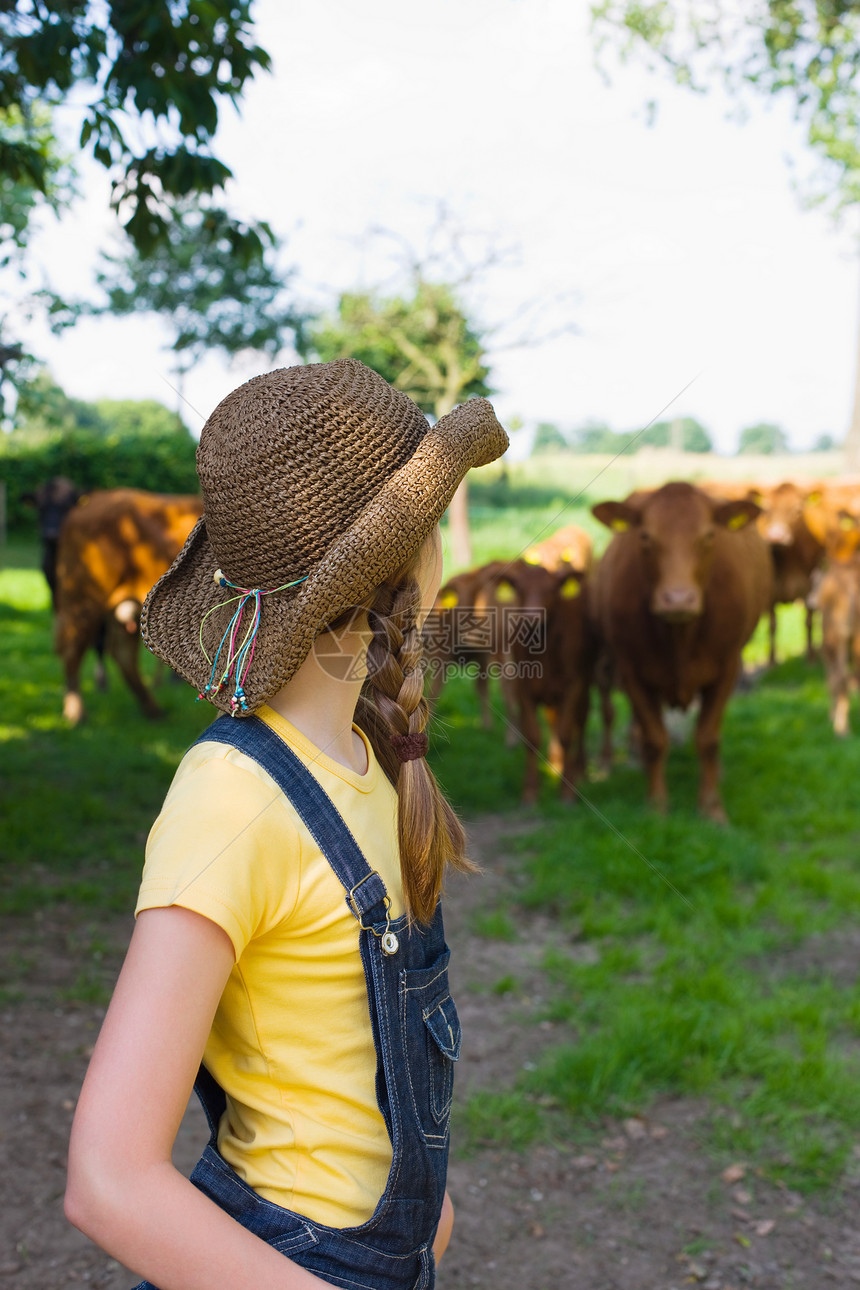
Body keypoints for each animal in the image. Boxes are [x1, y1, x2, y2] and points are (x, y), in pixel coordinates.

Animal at [55, 485, 202, 722]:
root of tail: (97, 497)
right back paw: (76, 713)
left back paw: (152, 709)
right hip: (82, 598)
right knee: (72, 649)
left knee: (122, 654)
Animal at [593, 479, 773, 820]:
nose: (678, 599)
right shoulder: (632, 671)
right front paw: (656, 805)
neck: (679, 637)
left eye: (709, 536)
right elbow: (655, 739)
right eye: (645, 536)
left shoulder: (727, 669)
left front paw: (712, 807)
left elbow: (708, 738)